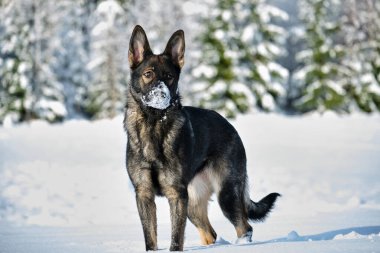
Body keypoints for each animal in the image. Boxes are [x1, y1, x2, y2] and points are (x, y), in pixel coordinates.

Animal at [124, 25, 280, 251]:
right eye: (148, 74)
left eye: (169, 76)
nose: (161, 96)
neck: (154, 123)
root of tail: (230, 126)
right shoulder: (144, 194)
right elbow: (150, 238)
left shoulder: (176, 195)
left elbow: (176, 239)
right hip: (192, 204)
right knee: (210, 234)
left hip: (225, 195)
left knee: (245, 228)